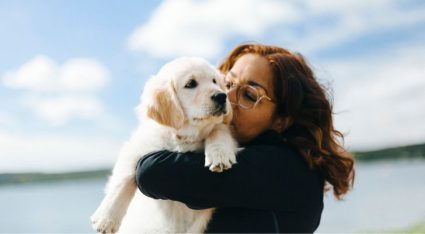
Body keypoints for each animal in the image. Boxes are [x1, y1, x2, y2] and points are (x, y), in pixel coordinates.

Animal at [90, 57, 237, 233]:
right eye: (191, 84)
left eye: (215, 81)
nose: (222, 96)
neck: (184, 136)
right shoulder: (138, 145)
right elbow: (123, 179)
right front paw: (106, 218)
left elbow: (218, 129)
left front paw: (219, 155)